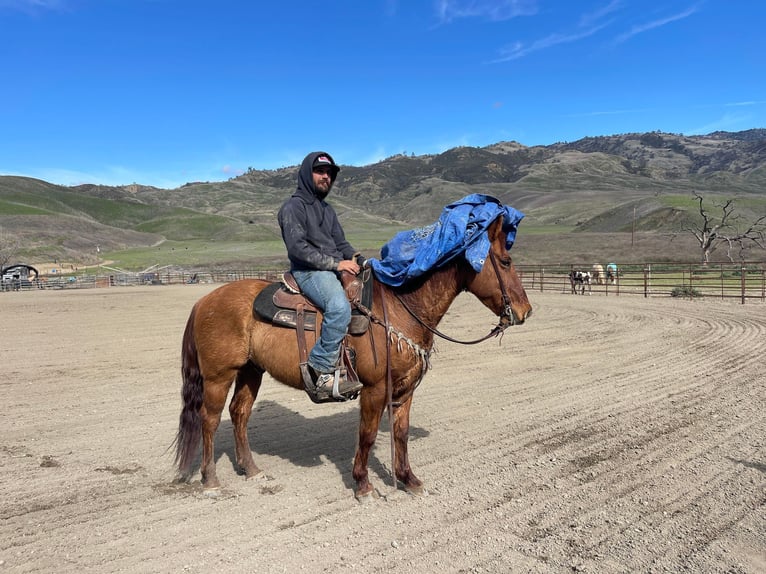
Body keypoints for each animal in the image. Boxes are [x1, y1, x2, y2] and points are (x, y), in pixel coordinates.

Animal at [174, 215, 536, 500]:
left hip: (251, 371)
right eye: (505, 262)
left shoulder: (404, 389)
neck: (401, 310)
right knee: (209, 419)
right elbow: (368, 434)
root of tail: (204, 301)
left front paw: (408, 480)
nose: (525, 311)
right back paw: (211, 480)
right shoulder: (374, 389)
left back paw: (251, 469)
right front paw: (363, 485)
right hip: (219, 375)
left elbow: (401, 434)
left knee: (240, 413)